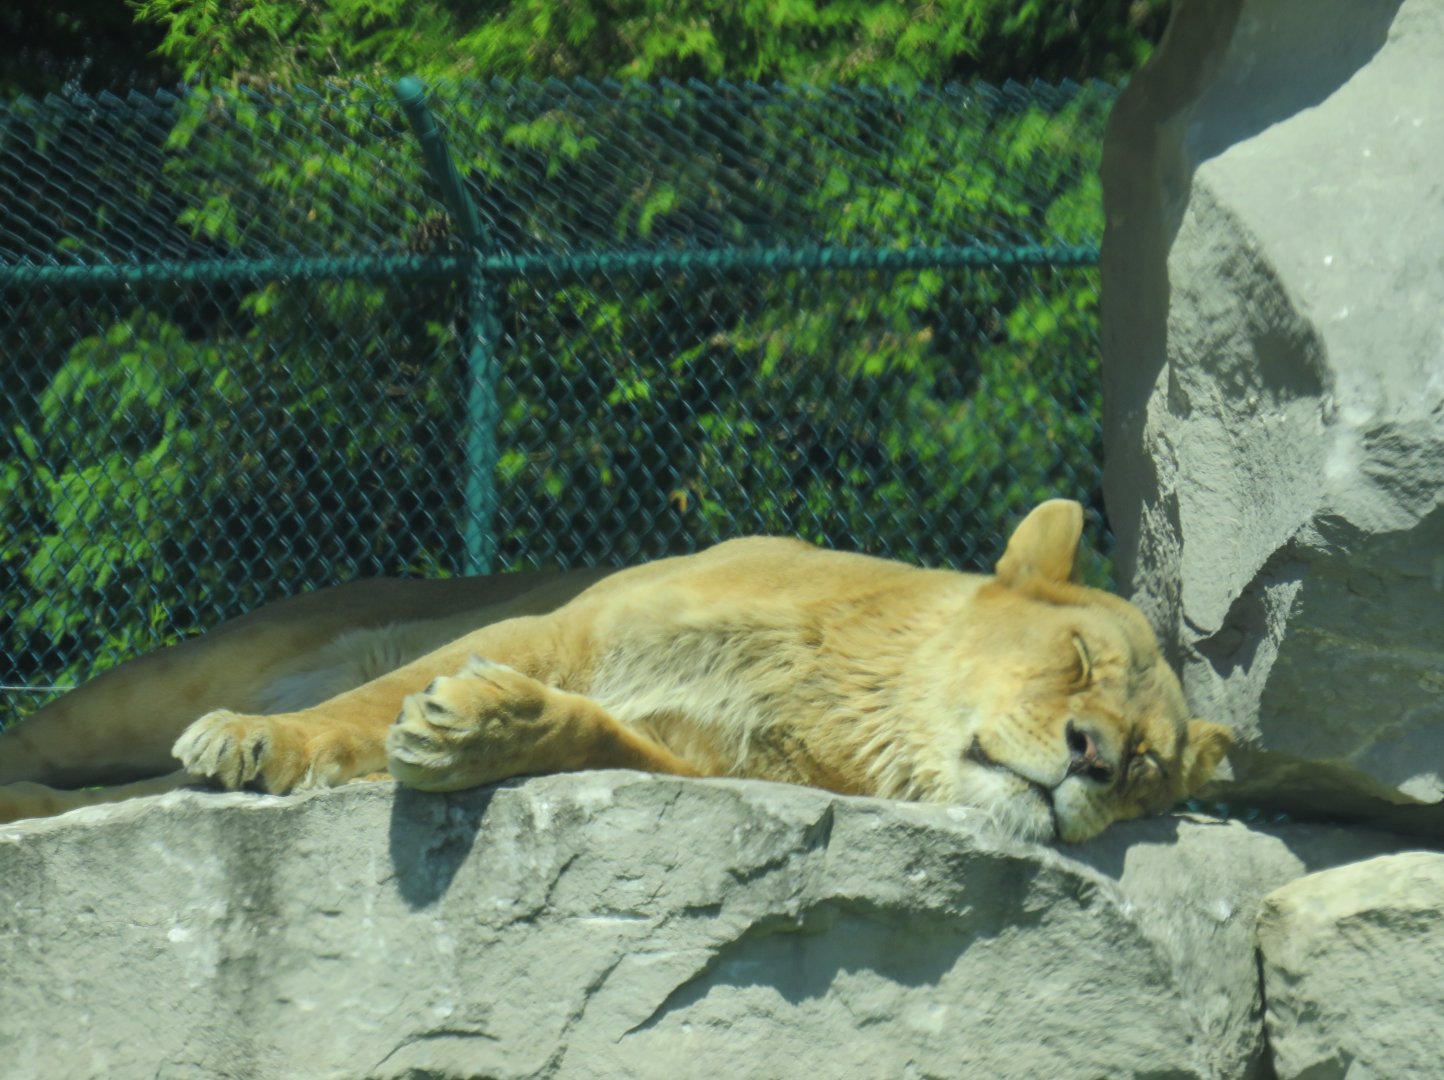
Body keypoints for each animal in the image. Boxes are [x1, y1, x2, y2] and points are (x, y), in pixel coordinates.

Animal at [0, 500, 1231, 841]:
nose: (1090, 758)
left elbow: (592, 734)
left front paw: (476, 732)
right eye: (1078, 658)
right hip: (156, 681)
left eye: (1147, 768)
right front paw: (268, 740)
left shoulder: (710, 766)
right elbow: (369, 699)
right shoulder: (563, 624)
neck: (854, 696)